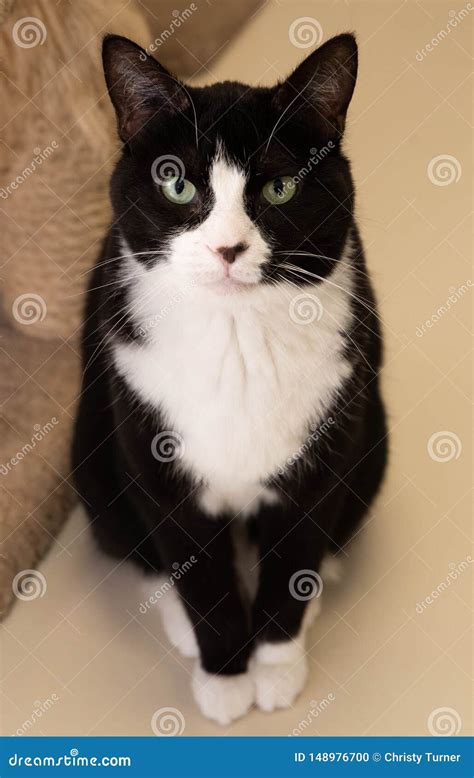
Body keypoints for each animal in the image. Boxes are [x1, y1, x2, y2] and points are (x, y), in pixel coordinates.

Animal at [72, 30, 386, 720]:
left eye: (280, 189)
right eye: (176, 184)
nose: (228, 248)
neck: (237, 339)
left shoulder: (321, 456)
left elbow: (294, 558)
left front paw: (276, 665)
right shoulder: (159, 463)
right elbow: (199, 576)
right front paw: (224, 678)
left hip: (371, 436)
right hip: (92, 452)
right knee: (136, 546)